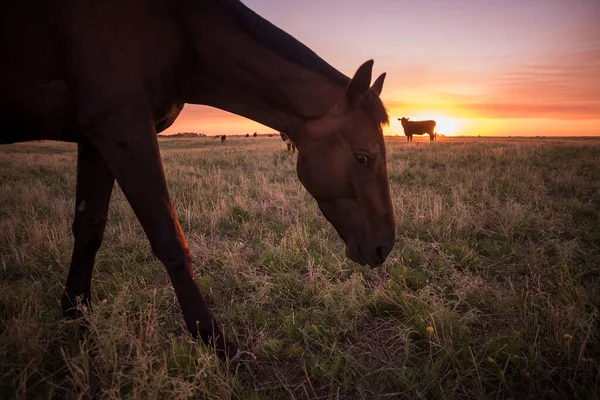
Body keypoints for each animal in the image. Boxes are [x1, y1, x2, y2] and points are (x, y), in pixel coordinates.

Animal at [2, 0, 396, 362]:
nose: (384, 247)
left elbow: (89, 229)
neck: (177, 28)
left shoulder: (95, 140)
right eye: (363, 158)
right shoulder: (122, 126)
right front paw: (216, 343)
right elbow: (170, 239)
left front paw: (77, 317)